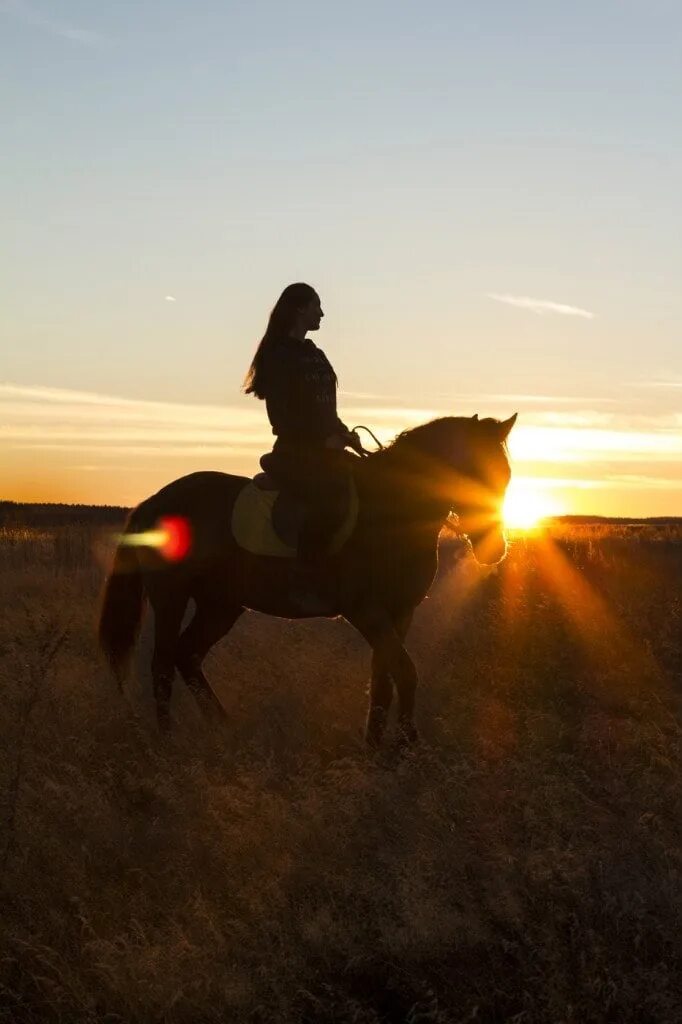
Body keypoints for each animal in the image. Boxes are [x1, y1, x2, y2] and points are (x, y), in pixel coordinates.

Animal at [94, 413, 509, 745]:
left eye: (504, 476)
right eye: (470, 472)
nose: (493, 551)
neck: (391, 511)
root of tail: (154, 501)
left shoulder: (400, 612)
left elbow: (384, 676)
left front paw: (377, 744)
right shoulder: (365, 611)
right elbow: (404, 672)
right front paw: (407, 742)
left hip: (221, 605)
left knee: (187, 655)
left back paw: (222, 726)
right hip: (171, 597)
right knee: (163, 664)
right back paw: (168, 740)